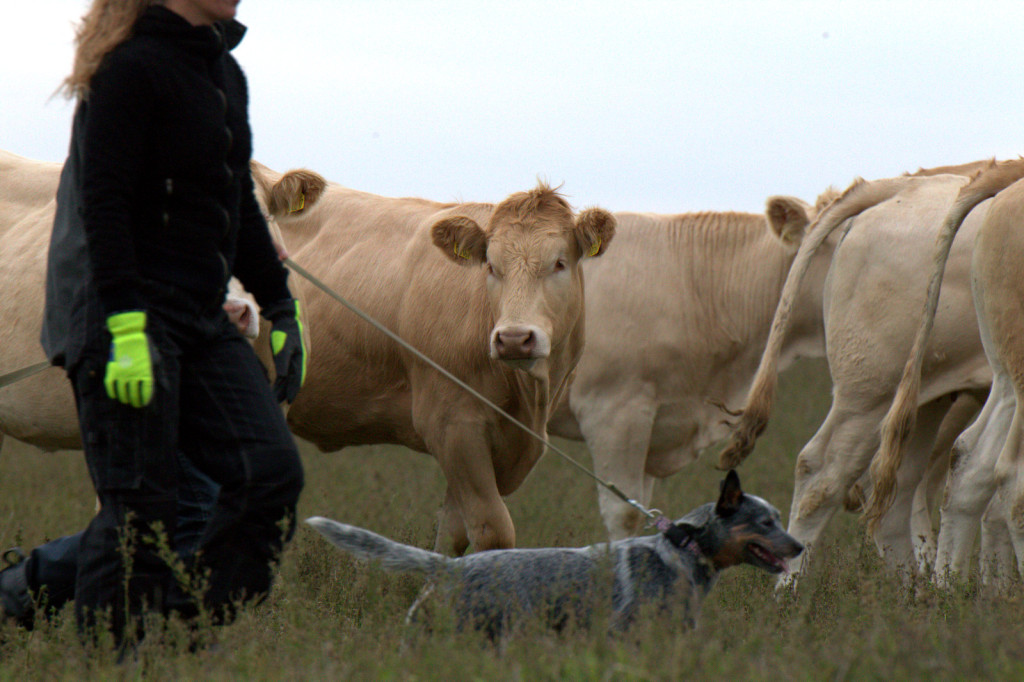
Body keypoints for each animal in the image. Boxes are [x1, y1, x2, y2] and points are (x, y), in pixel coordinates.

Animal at [250, 163, 610, 552]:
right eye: (491, 266)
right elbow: (491, 529)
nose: (514, 339)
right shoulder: (451, 424)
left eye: (559, 263)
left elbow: (453, 534)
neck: (528, 400)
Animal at [716, 165, 995, 585]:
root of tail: (896, 187)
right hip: (872, 393)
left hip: (922, 395)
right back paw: (790, 590)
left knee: (896, 487)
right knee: (823, 477)